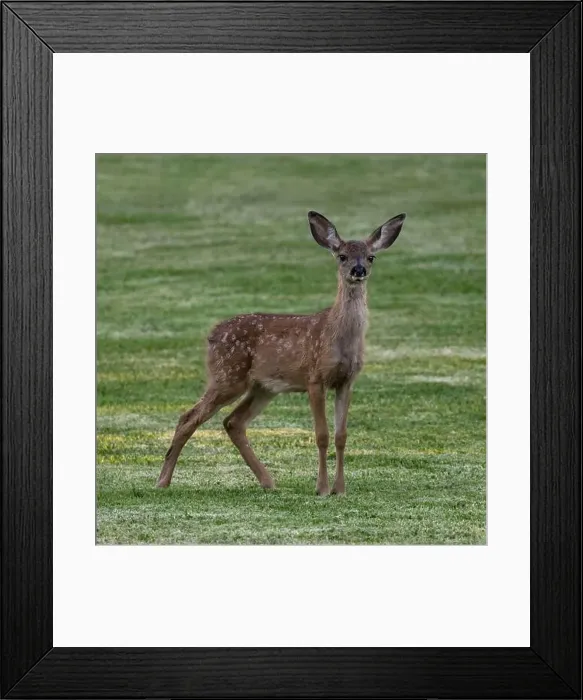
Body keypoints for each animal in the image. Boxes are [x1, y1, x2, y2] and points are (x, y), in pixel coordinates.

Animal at [156, 210, 406, 495]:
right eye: (342, 255)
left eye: (370, 256)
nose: (359, 270)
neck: (337, 335)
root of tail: (212, 334)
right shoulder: (314, 377)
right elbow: (321, 435)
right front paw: (321, 489)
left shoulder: (346, 381)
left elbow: (341, 436)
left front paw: (340, 489)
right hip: (228, 375)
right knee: (188, 417)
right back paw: (162, 481)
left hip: (263, 387)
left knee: (233, 422)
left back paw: (269, 482)